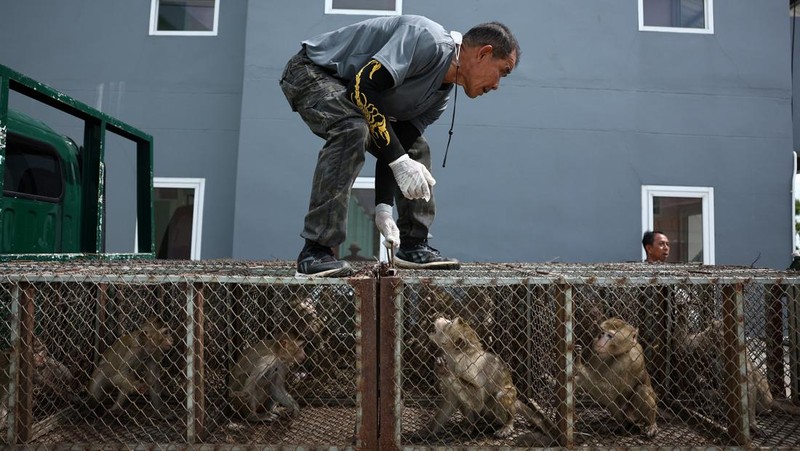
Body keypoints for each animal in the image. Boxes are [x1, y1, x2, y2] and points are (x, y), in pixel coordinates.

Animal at [424, 318, 556, 442]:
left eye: (449, 323)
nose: (440, 318)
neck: (456, 355)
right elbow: (451, 400)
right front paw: (426, 432)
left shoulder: (467, 366)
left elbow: (478, 399)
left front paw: (444, 371)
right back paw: (470, 424)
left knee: (500, 395)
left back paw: (508, 423)